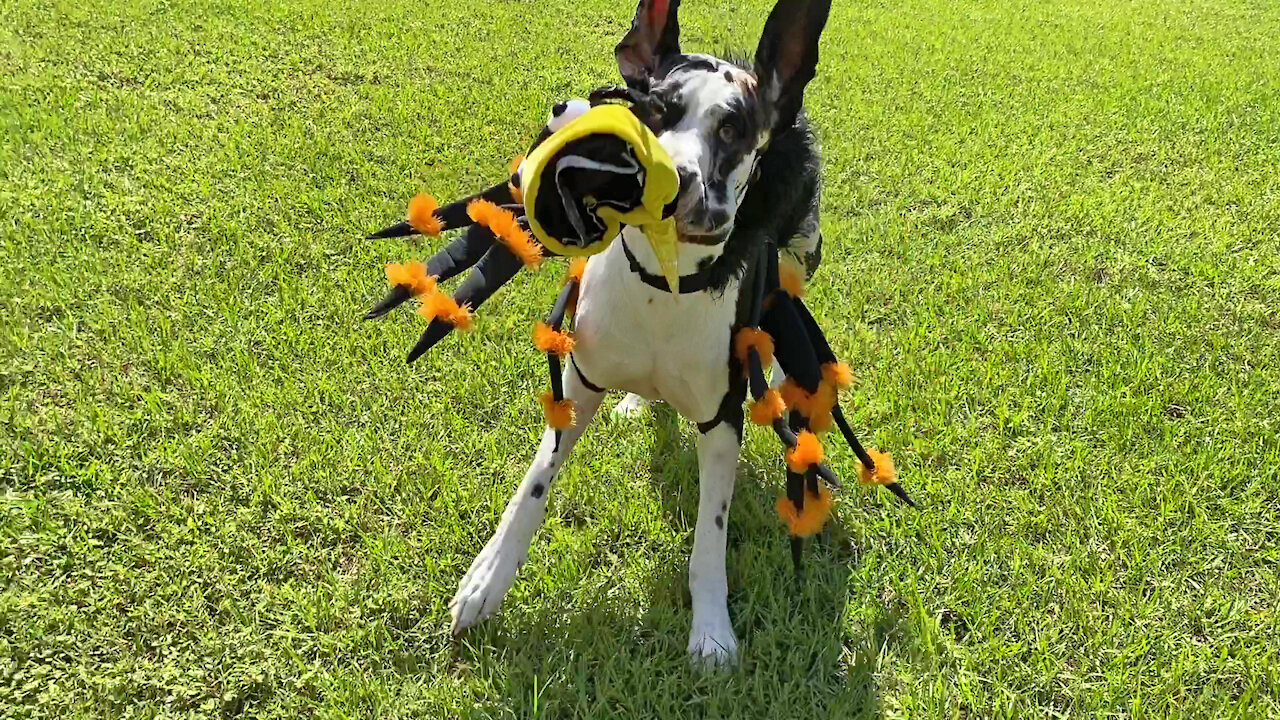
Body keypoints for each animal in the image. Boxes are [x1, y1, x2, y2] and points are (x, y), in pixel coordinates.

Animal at [448, 0, 829, 661]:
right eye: (652, 110)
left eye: (732, 130)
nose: (672, 179)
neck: (661, 287)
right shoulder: (575, 387)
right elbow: (530, 492)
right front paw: (487, 579)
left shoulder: (721, 421)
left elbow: (709, 539)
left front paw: (711, 630)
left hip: (799, 258)